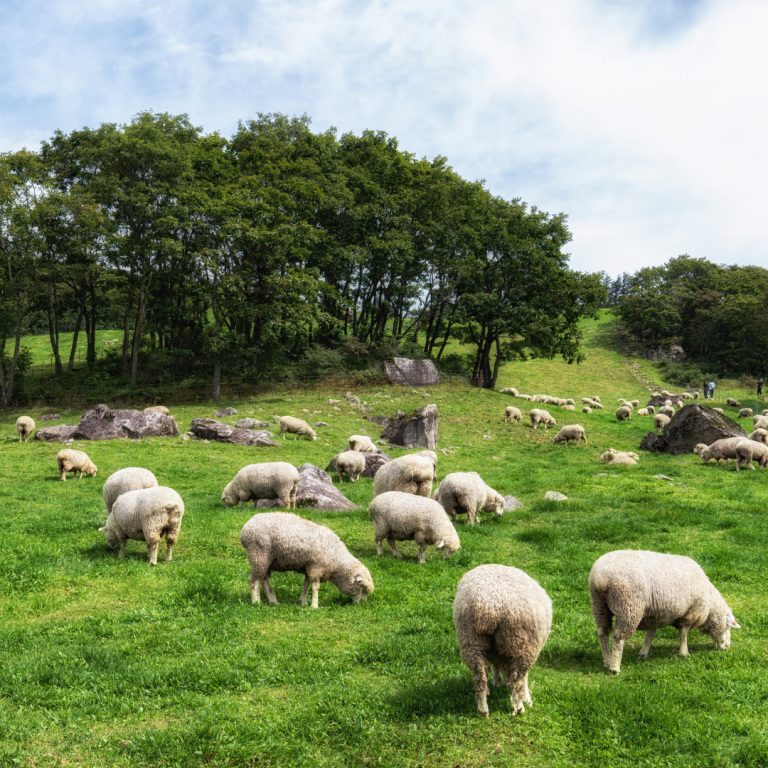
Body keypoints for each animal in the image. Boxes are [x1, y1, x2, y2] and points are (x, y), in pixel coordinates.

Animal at [239, 512, 374, 607]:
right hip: (258, 555)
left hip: (266, 561)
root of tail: (245, 528)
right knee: (253, 580)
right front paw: (314, 605)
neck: (336, 561)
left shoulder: (309, 567)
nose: (361, 605)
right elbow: (315, 587)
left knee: (263, 580)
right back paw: (256, 602)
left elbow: (306, 585)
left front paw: (303, 602)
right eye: (362, 588)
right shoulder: (316, 567)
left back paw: (273, 601)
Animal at [453, 564, 552, 717]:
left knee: (480, 676)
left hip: (470, 641)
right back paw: (519, 707)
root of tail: (489, 607)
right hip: (522, 646)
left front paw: (498, 682)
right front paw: (526, 698)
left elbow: (497, 667)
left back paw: (483, 709)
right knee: (517, 678)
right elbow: (524, 678)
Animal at [589, 549, 740, 674]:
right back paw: (614, 667)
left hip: (599, 606)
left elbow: (650, 635)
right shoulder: (688, 614)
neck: (709, 605)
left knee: (602, 633)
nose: (726, 648)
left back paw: (607, 661)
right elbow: (683, 634)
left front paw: (643, 653)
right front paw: (684, 653)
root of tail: (601, 578)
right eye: (728, 628)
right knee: (618, 638)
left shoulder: (654, 616)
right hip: (628, 608)